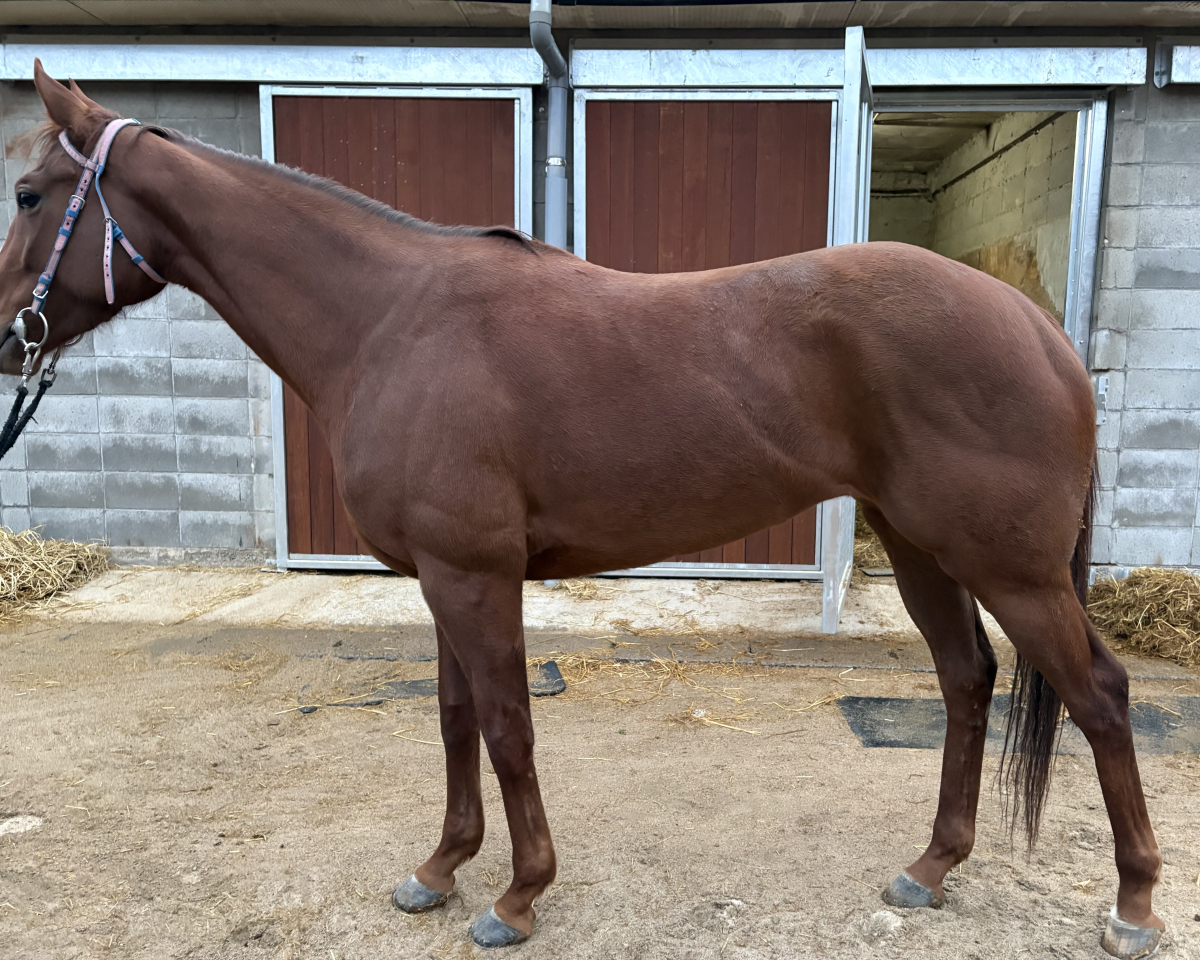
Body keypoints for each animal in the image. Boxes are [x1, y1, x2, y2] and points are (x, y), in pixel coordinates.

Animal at [0, 61, 1163, 957]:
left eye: (26, 194)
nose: (7, 334)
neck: (390, 320)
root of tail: (1032, 323)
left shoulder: (477, 577)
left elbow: (509, 727)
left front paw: (517, 897)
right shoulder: (443, 579)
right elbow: (456, 719)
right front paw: (441, 868)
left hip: (1010, 566)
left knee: (1101, 697)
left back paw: (1135, 904)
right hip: (919, 544)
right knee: (967, 681)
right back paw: (930, 867)